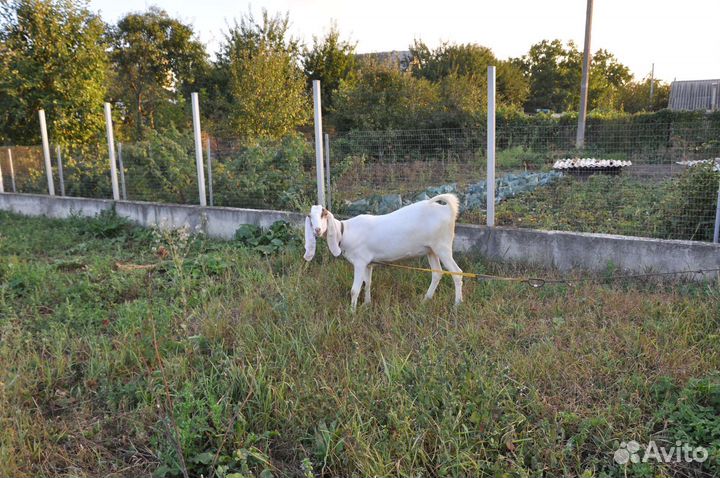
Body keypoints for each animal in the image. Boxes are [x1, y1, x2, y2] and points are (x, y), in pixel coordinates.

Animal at [304, 193, 463, 310]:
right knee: (437, 273)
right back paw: (425, 300)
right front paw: (367, 304)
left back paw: (457, 305)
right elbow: (367, 283)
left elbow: (355, 290)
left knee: (457, 273)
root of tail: (447, 210)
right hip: (431, 250)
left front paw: (352, 312)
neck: (345, 232)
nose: (317, 230)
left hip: (442, 247)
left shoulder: (360, 262)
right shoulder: (368, 264)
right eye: (310, 216)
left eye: (324, 214)